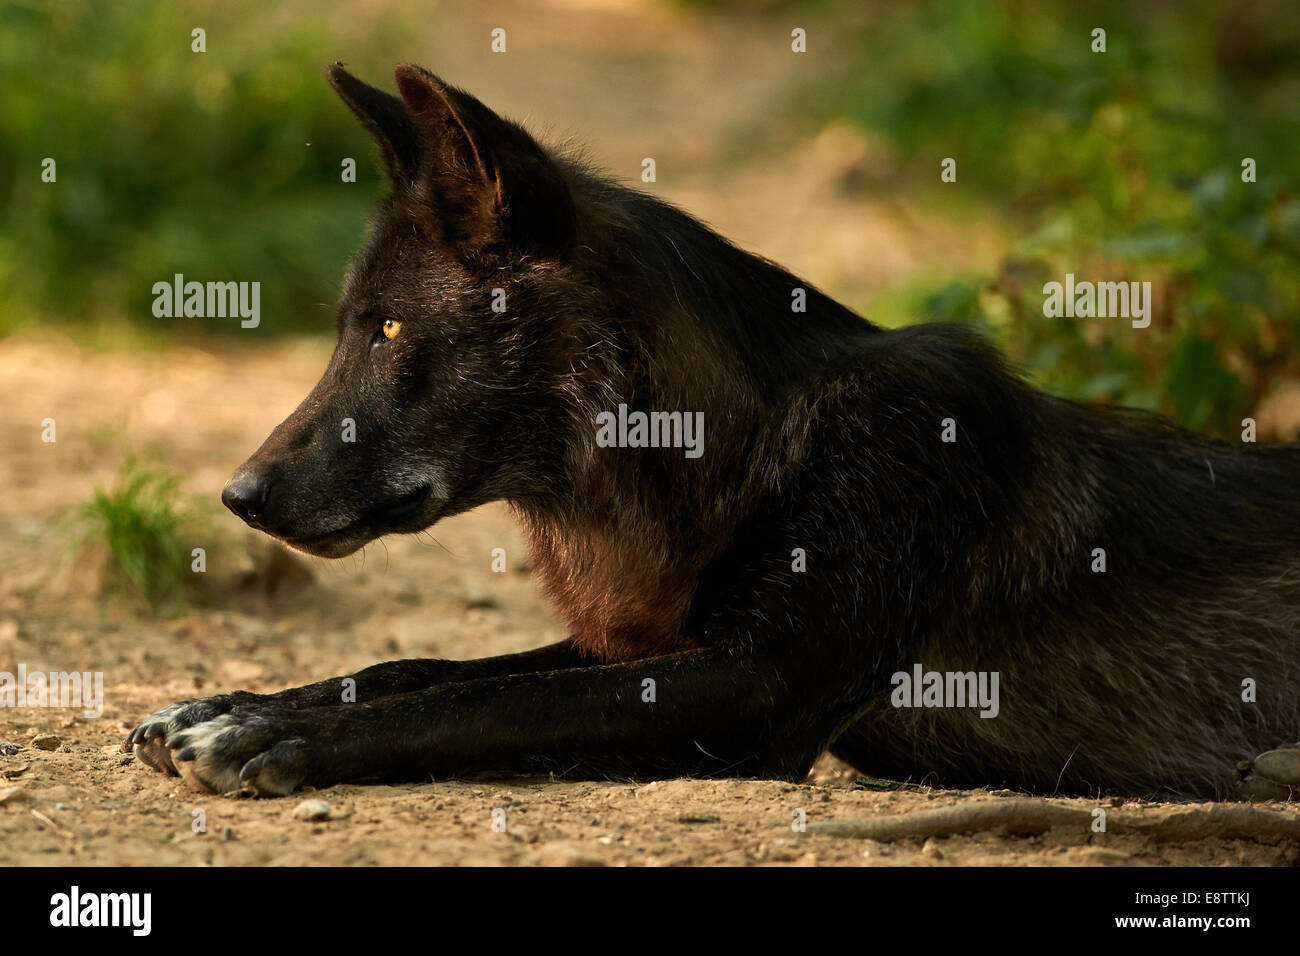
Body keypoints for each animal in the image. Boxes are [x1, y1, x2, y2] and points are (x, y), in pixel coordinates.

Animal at [124, 63, 1300, 806]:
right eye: (348, 327)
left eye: (391, 328)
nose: (237, 496)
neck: (738, 456)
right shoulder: (658, 641)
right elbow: (427, 665)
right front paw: (232, 700)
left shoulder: (757, 684)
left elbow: (484, 700)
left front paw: (274, 733)